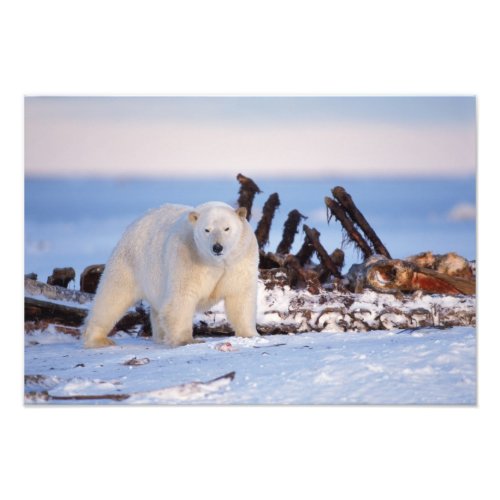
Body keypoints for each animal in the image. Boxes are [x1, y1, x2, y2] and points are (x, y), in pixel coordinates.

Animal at [82, 202, 260, 348]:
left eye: (227, 228)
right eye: (207, 230)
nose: (217, 247)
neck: (215, 262)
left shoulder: (239, 260)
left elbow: (240, 296)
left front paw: (250, 334)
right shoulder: (187, 256)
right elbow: (182, 297)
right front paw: (187, 340)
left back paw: (161, 336)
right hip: (131, 261)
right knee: (112, 296)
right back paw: (98, 339)